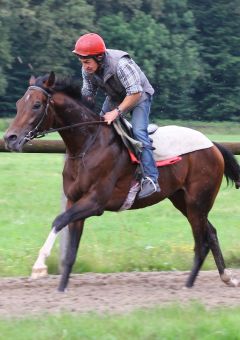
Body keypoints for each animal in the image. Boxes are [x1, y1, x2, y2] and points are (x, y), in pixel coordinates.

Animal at [3, 71, 240, 292]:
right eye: (18, 104)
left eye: (36, 105)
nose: (10, 138)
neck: (87, 145)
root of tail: (212, 145)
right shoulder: (74, 200)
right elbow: (70, 250)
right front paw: (61, 288)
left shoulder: (95, 202)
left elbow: (59, 220)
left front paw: (39, 266)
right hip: (182, 200)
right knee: (211, 233)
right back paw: (226, 277)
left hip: (197, 201)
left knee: (201, 242)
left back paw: (189, 285)